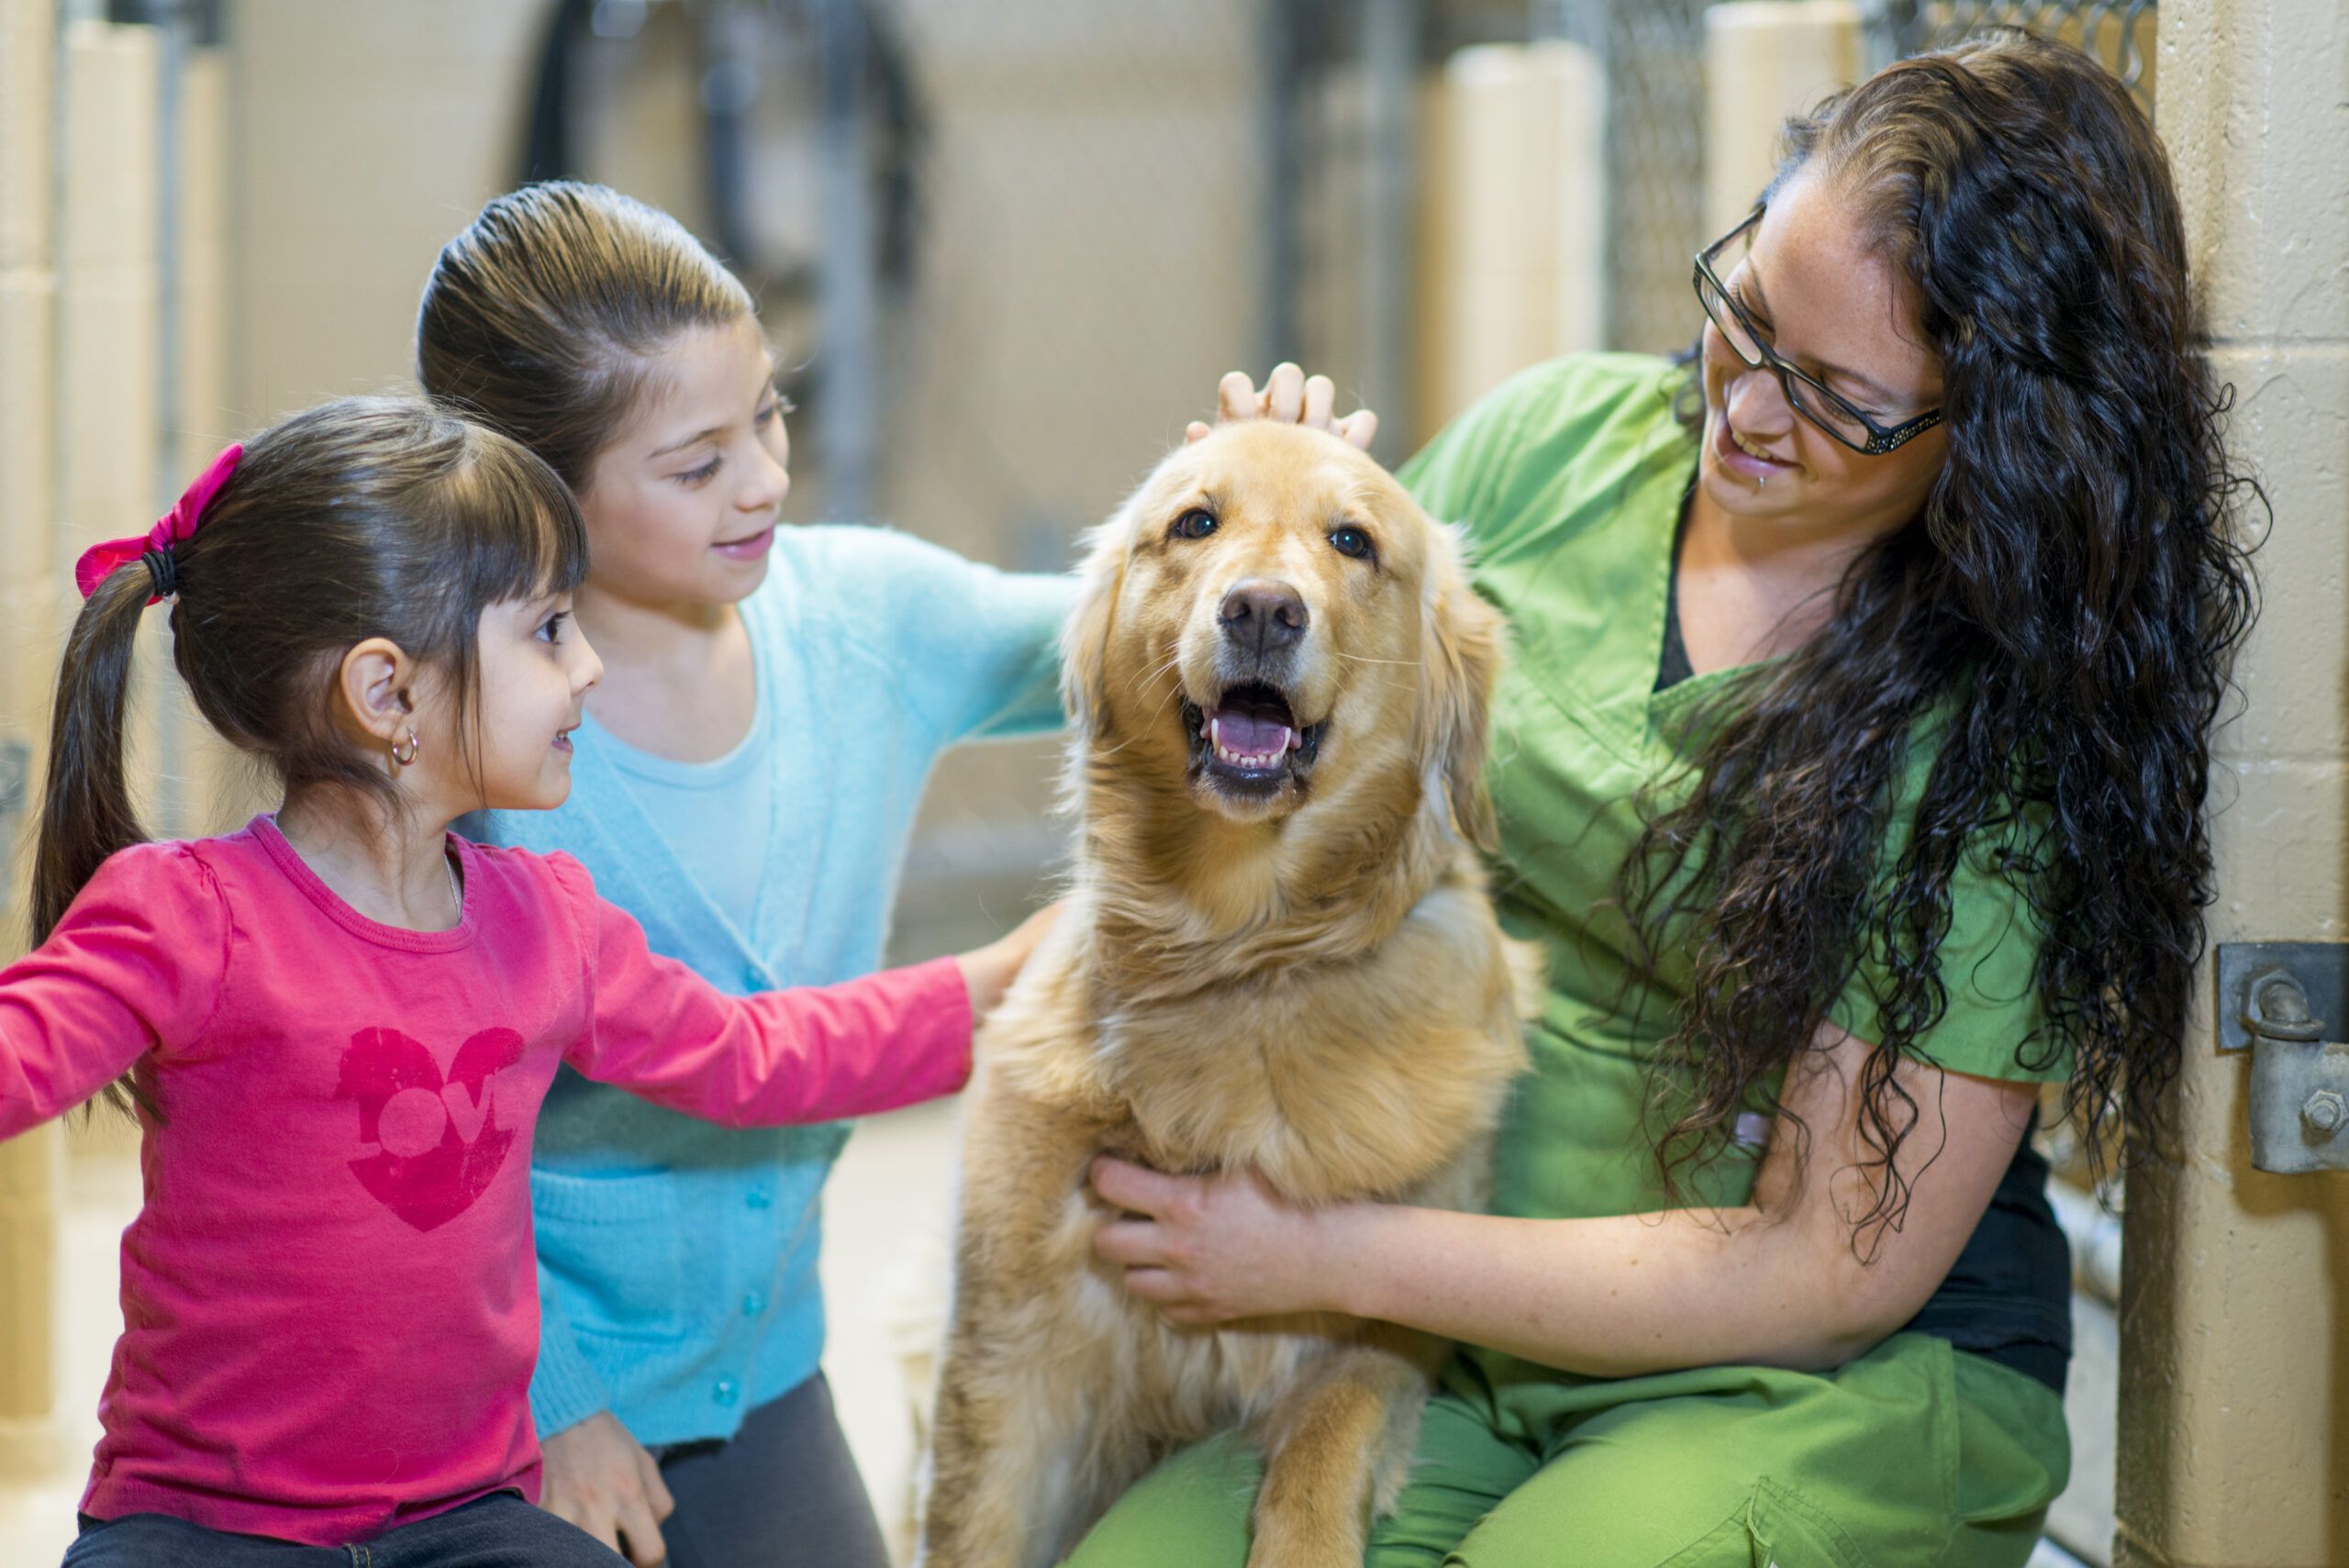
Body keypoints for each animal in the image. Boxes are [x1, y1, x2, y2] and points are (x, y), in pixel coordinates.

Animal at [916, 415, 1541, 1568]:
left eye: (1353, 541)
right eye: (1195, 523)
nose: (1260, 609)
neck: (1240, 951)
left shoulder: (1382, 1317)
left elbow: (1325, 1446)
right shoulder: (1007, 1343)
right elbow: (971, 1526)